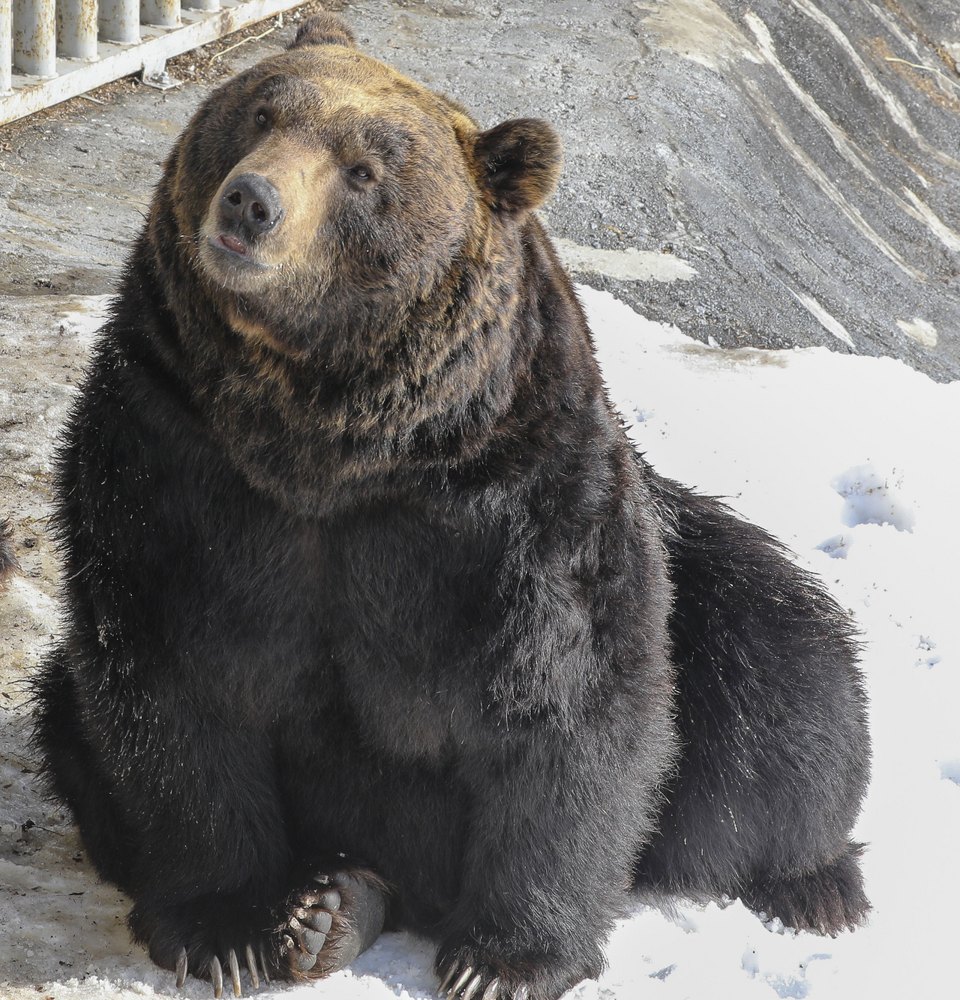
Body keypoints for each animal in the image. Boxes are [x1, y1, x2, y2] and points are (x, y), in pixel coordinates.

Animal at [32, 14, 870, 1000]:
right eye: (260, 112)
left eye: (365, 169)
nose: (249, 203)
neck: (330, 438)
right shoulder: (172, 456)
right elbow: (169, 679)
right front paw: (230, 928)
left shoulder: (516, 505)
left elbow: (568, 699)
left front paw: (502, 961)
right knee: (66, 715)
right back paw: (333, 909)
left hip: (704, 589)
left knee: (784, 676)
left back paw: (816, 882)